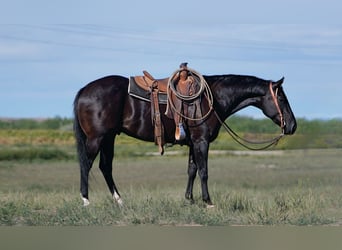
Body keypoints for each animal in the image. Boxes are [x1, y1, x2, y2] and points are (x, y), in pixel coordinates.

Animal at [73, 73, 296, 206]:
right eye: (282, 98)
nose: (292, 126)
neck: (212, 99)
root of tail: (84, 90)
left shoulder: (193, 142)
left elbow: (192, 170)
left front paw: (189, 199)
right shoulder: (201, 141)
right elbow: (204, 171)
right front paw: (208, 201)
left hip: (108, 138)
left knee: (105, 167)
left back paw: (119, 200)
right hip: (97, 139)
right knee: (86, 164)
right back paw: (86, 200)